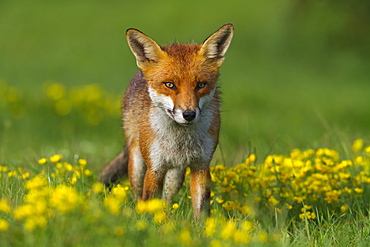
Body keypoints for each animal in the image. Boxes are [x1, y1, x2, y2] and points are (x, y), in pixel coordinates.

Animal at [100, 23, 234, 220]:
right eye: (170, 84)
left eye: (201, 85)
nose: (189, 114)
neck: (180, 141)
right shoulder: (154, 168)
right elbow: (148, 202)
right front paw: (146, 224)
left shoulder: (201, 166)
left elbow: (201, 209)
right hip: (137, 162)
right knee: (138, 195)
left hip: (176, 174)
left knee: (166, 200)